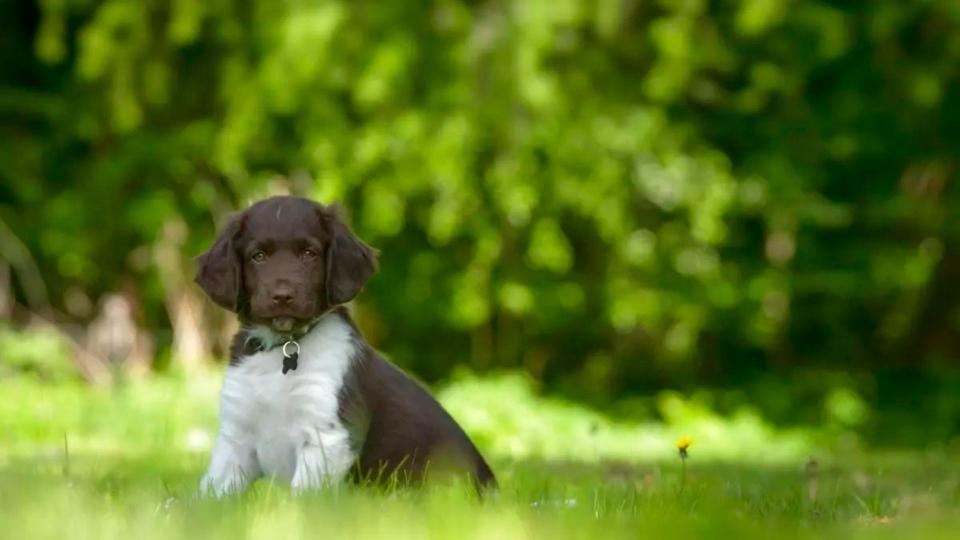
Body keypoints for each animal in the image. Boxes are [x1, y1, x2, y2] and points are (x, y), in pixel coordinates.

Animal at [195, 196, 496, 496]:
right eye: (258, 256)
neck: (284, 347)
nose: (282, 296)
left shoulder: (326, 432)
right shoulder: (236, 435)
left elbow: (301, 497)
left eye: (309, 254)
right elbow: (211, 491)